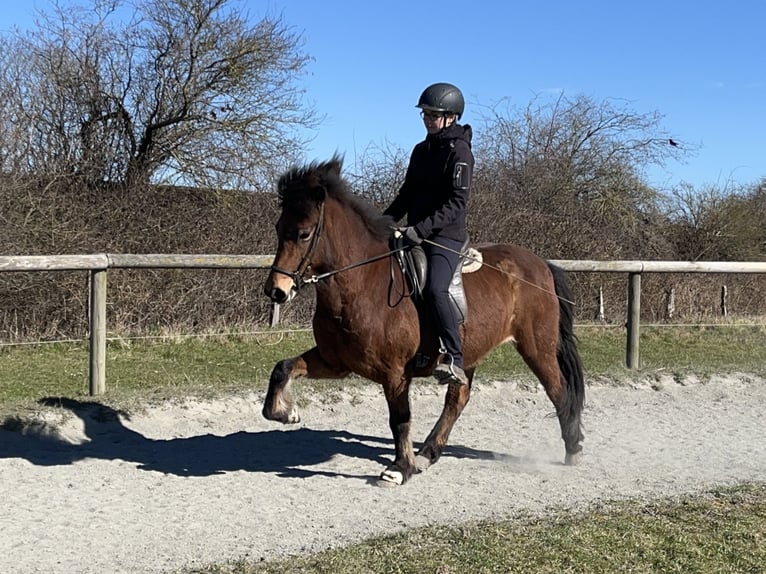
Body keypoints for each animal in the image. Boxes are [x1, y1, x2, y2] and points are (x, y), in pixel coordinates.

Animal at [262, 156, 585, 486]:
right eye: (278, 228)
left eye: (304, 233)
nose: (276, 290)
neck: (362, 284)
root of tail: (540, 264)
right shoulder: (334, 362)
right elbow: (282, 368)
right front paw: (286, 413)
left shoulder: (394, 374)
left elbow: (400, 419)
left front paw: (400, 468)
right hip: (468, 353)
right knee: (458, 399)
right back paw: (428, 453)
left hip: (537, 347)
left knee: (558, 390)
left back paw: (573, 449)